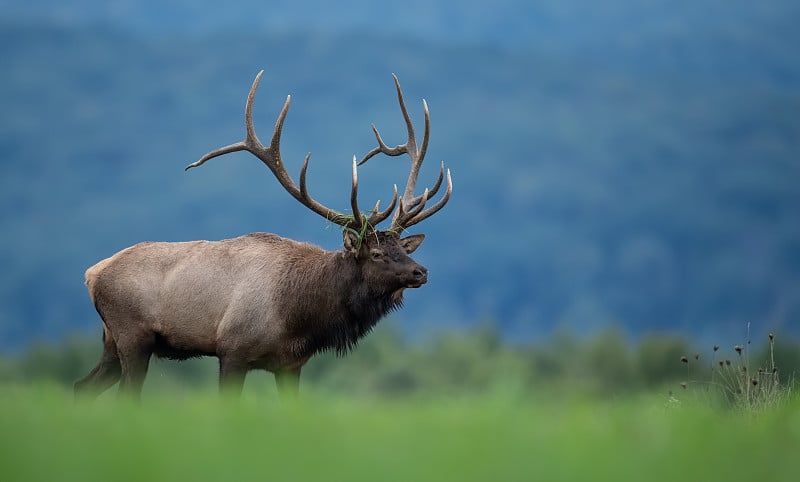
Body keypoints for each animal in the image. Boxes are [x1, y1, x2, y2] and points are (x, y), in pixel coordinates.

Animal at [74, 70, 450, 400]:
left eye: (404, 248)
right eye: (375, 253)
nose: (421, 272)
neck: (299, 317)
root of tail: (92, 273)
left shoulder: (291, 365)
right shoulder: (232, 350)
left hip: (111, 342)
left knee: (82, 386)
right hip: (133, 335)